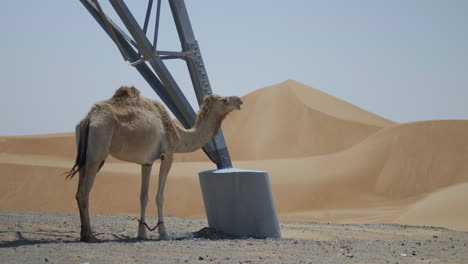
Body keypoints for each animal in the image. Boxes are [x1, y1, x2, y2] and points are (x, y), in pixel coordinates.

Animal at [66, 86, 241, 241]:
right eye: (225, 100)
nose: (239, 100)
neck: (179, 135)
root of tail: (89, 118)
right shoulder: (168, 155)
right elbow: (160, 196)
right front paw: (163, 233)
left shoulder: (147, 162)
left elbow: (143, 196)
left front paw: (142, 233)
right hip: (97, 151)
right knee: (84, 192)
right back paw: (90, 236)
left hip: (85, 155)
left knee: (79, 189)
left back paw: (84, 234)